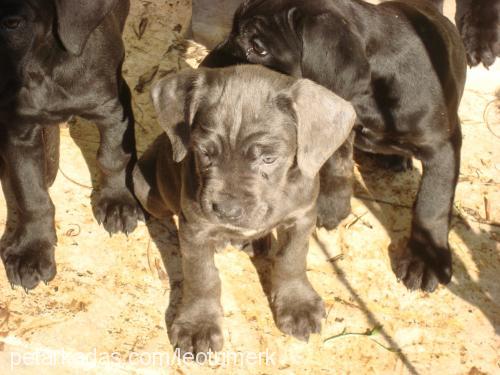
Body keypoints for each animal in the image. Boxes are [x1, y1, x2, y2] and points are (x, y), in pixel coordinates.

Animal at [0, 0, 143, 290]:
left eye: (11, 23)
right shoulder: (18, 130)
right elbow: (31, 195)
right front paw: (32, 249)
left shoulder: (113, 108)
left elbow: (113, 157)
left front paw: (118, 201)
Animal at [133, 65, 356, 356]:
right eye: (204, 152)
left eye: (269, 158)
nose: (227, 210)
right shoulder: (195, 228)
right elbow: (202, 275)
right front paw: (198, 324)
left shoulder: (302, 217)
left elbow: (292, 259)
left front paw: (297, 304)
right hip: (145, 188)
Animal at [202, 0, 468, 294]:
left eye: (258, 48)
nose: (205, 66)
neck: (370, 95)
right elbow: (336, 165)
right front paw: (332, 206)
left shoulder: (442, 146)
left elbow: (433, 204)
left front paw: (425, 259)